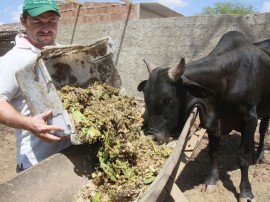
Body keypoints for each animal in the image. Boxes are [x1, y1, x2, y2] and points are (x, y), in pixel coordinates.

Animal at [137, 30, 270, 201]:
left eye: (168, 99)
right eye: (146, 98)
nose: (152, 137)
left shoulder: (250, 119)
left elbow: (243, 157)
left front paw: (246, 192)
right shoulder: (212, 122)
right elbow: (213, 152)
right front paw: (211, 180)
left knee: (263, 128)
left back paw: (259, 155)